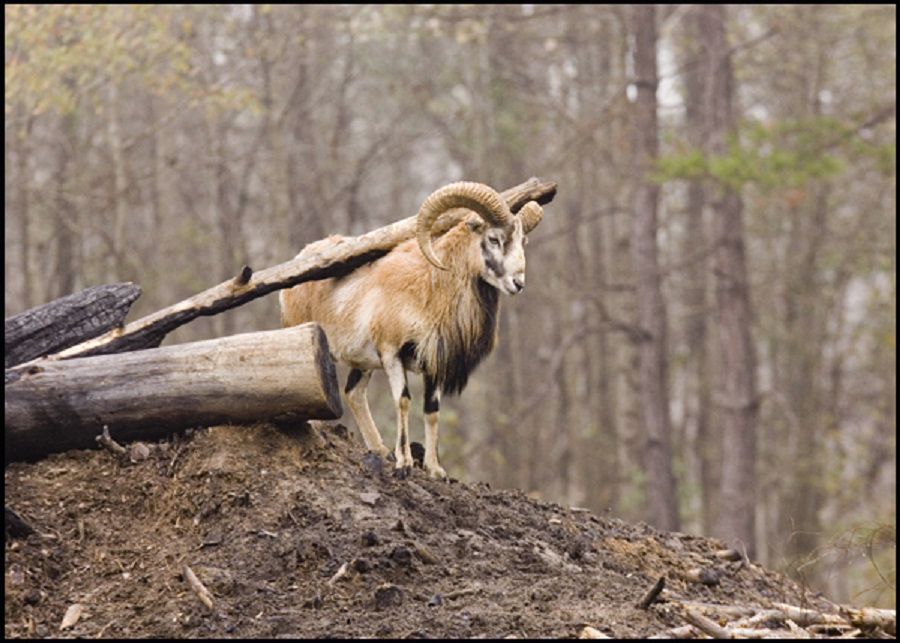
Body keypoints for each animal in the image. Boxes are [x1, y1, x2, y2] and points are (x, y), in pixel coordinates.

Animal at [280, 181, 544, 478]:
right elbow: (403, 400)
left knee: (354, 394)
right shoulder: (392, 354)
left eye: (522, 242)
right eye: (494, 239)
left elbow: (432, 410)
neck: (429, 288)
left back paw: (380, 450)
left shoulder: (434, 364)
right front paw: (404, 463)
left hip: (363, 364)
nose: (518, 283)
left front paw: (435, 469)